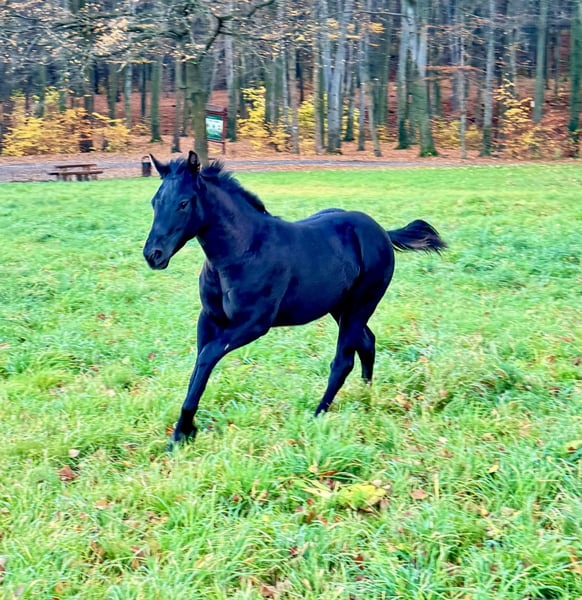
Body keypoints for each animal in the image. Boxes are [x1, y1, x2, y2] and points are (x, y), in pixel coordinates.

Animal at [143, 151, 447, 446]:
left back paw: (318, 414)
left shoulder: (253, 324)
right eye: (155, 202)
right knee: (367, 342)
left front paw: (182, 432)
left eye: (184, 203)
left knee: (343, 360)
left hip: (361, 305)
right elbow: (199, 366)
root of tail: (383, 231)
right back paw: (365, 398)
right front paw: (183, 431)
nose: (153, 255)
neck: (242, 250)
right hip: (340, 308)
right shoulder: (209, 319)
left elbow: (207, 357)